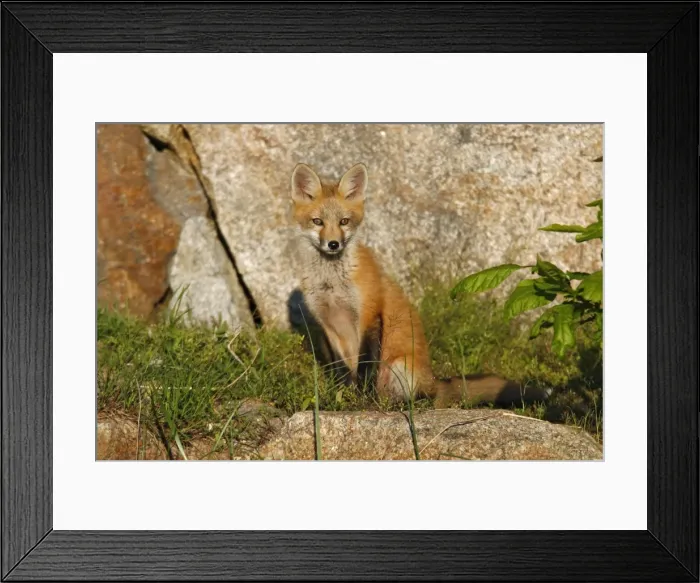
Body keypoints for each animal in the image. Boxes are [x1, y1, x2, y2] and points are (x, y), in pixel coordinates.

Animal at [290, 162, 551, 409]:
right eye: (318, 222)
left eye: (344, 221)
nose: (333, 244)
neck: (332, 282)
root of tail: (434, 382)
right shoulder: (328, 325)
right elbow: (342, 372)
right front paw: (343, 399)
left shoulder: (369, 313)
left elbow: (366, 368)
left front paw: (363, 402)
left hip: (400, 366)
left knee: (419, 399)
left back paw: (392, 404)